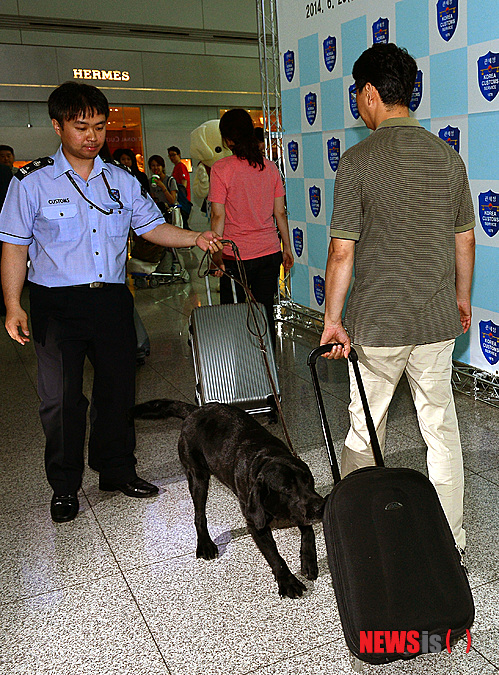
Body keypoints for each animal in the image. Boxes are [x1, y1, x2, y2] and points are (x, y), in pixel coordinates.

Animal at [130, 398, 324, 600]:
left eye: (309, 481)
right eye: (286, 489)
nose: (321, 507)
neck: (266, 458)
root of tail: (196, 410)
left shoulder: (301, 509)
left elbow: (308, 531)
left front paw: (309, 560)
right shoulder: (255, 523)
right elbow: (274, 556)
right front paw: (287, 580)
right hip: (198, 478)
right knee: (199, 515)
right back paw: (205, 543)